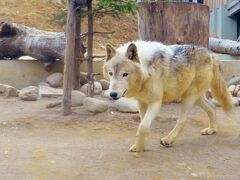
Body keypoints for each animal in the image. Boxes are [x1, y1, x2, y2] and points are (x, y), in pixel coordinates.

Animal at [102, 40, 232, 153]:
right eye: (111, 73)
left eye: (125, 74)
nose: (112, 94)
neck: (146, 69)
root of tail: (211, 53)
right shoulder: (142, 102)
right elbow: (143, 125)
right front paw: (141, 145)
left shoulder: (155, 102)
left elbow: (143, 126)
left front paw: (139, 149)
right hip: (195, 98)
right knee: (212, 108)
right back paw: (211, 130)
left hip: (189, 97)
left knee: (183, 120)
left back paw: (168, 139)